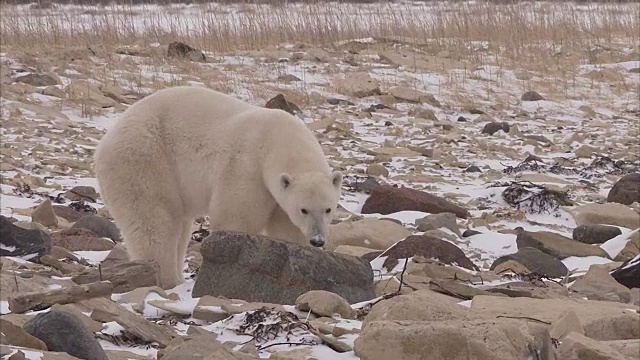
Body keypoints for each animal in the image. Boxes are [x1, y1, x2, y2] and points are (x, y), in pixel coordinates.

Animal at [93, 86, 342, 290]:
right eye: (304, 209)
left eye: (328, 209)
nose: (318, 240)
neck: (276, 137)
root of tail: (106, 141)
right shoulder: (246, 167)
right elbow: (236, 215)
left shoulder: (279, 197)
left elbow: (286, 228)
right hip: (144, 159)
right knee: (153, 220)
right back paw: (165, 278)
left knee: (179, 225)